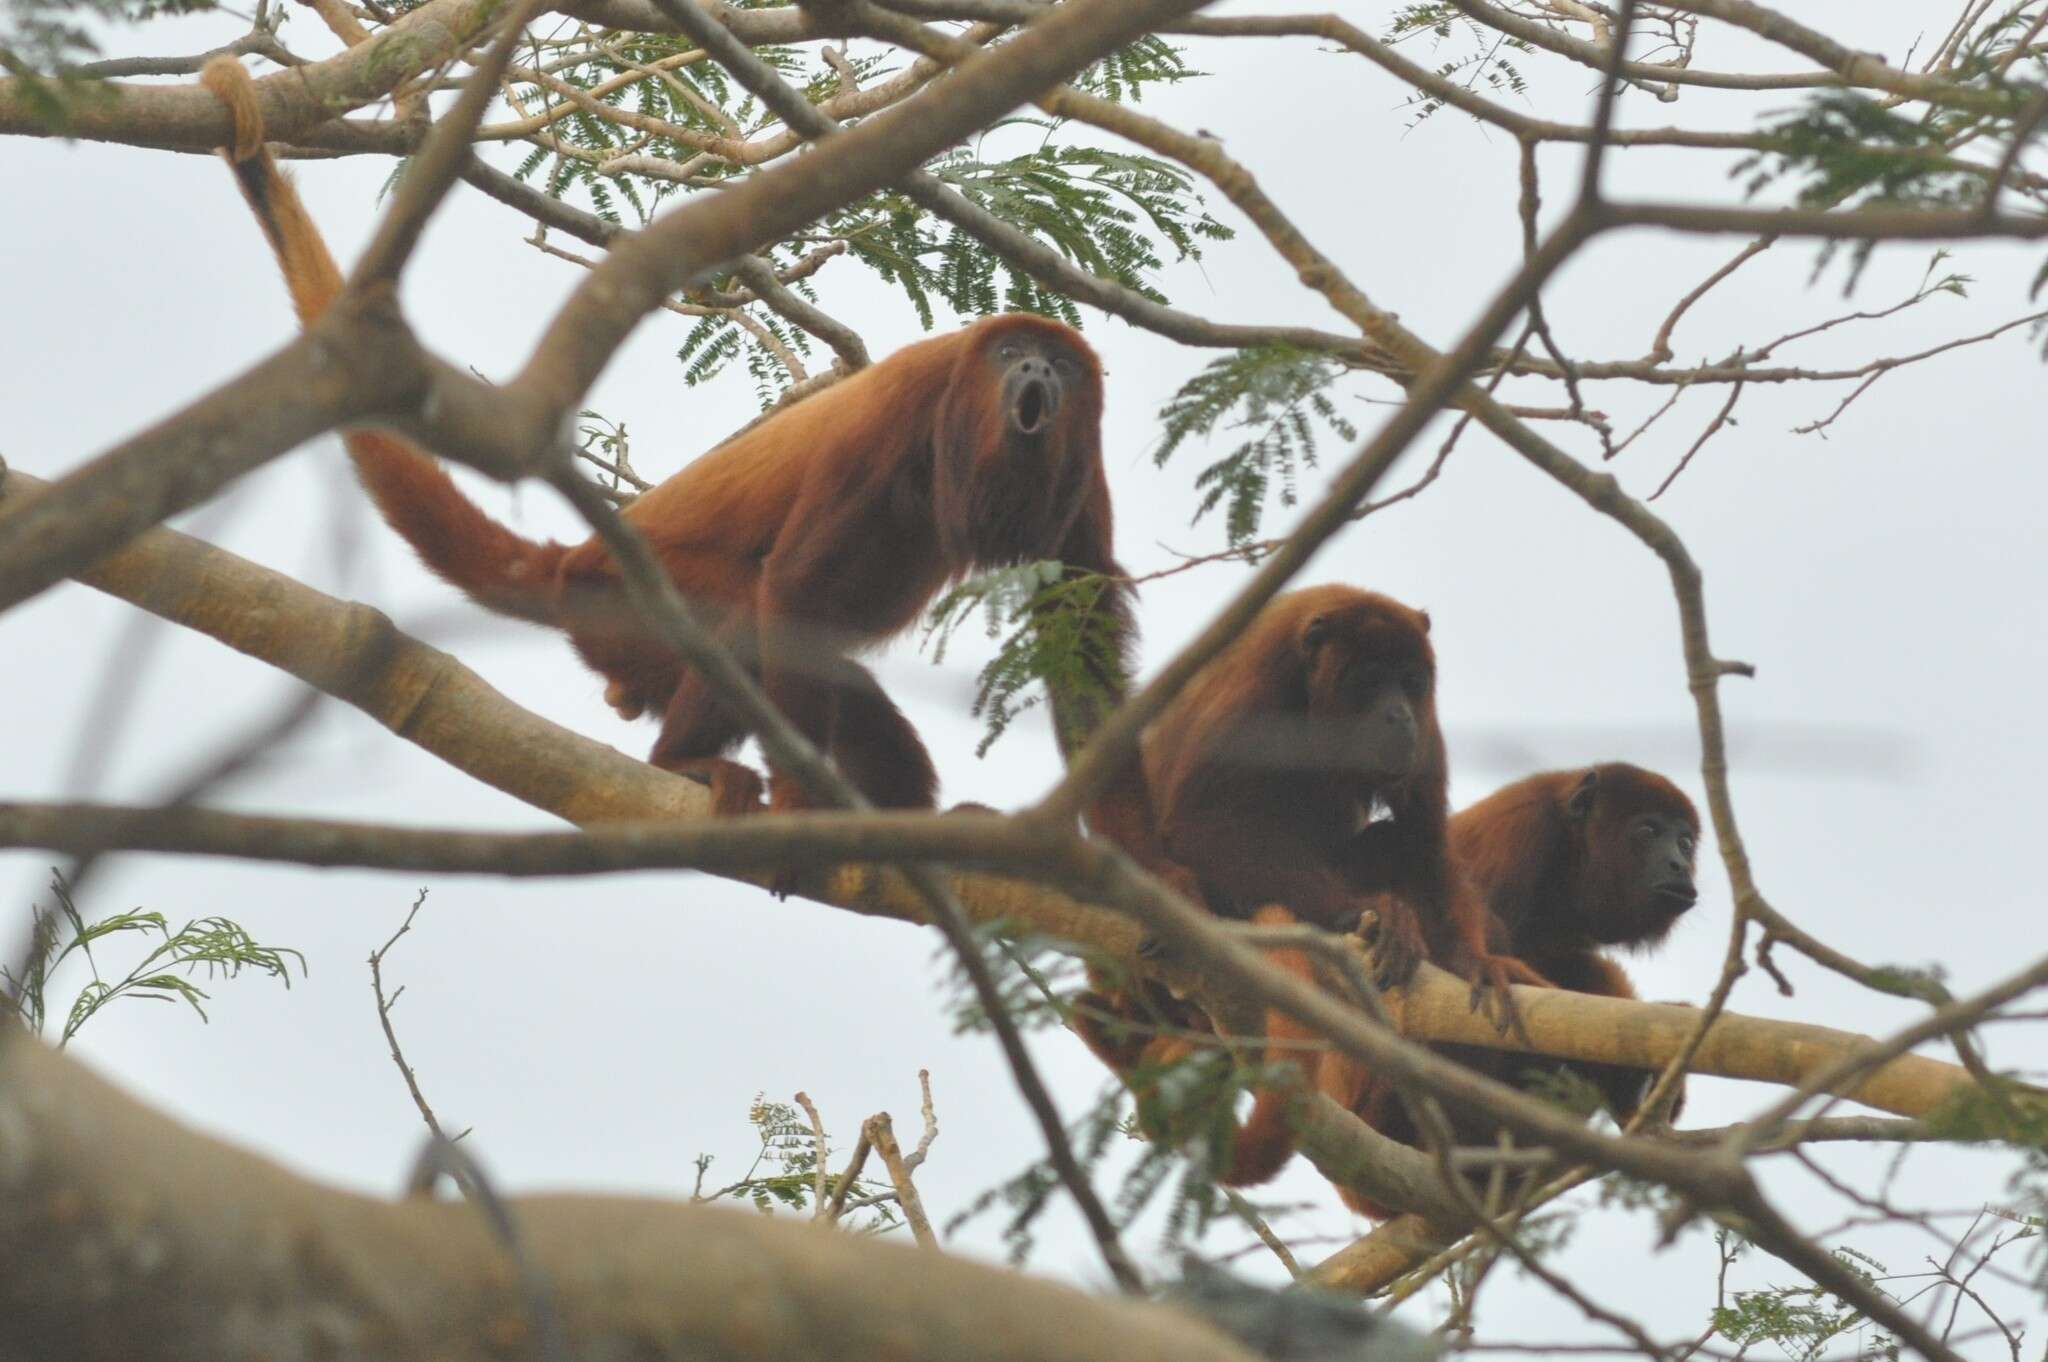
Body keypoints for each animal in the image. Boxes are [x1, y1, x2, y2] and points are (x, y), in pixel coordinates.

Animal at [201, 55, 1187, 872]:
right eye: (1009, 353)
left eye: (1058, 364)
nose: (1033, 372)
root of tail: (572, 562)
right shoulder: (894, 419)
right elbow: (794, 583)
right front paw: (798, 806)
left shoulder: (1083, 472)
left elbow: (1081, 636)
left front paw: (1152, 866)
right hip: (627, 602)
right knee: (743, 613)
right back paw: (689, 763)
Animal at [1081, 589, 1540, 1187]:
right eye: (1371, 679)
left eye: (1411, 681)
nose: (1399, 715)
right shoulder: (1255, 690)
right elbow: (1199, 828)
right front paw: (1371, 913)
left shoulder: (1428, 728)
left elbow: (1426, 844)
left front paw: (1475, 961)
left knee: (1394, 840)